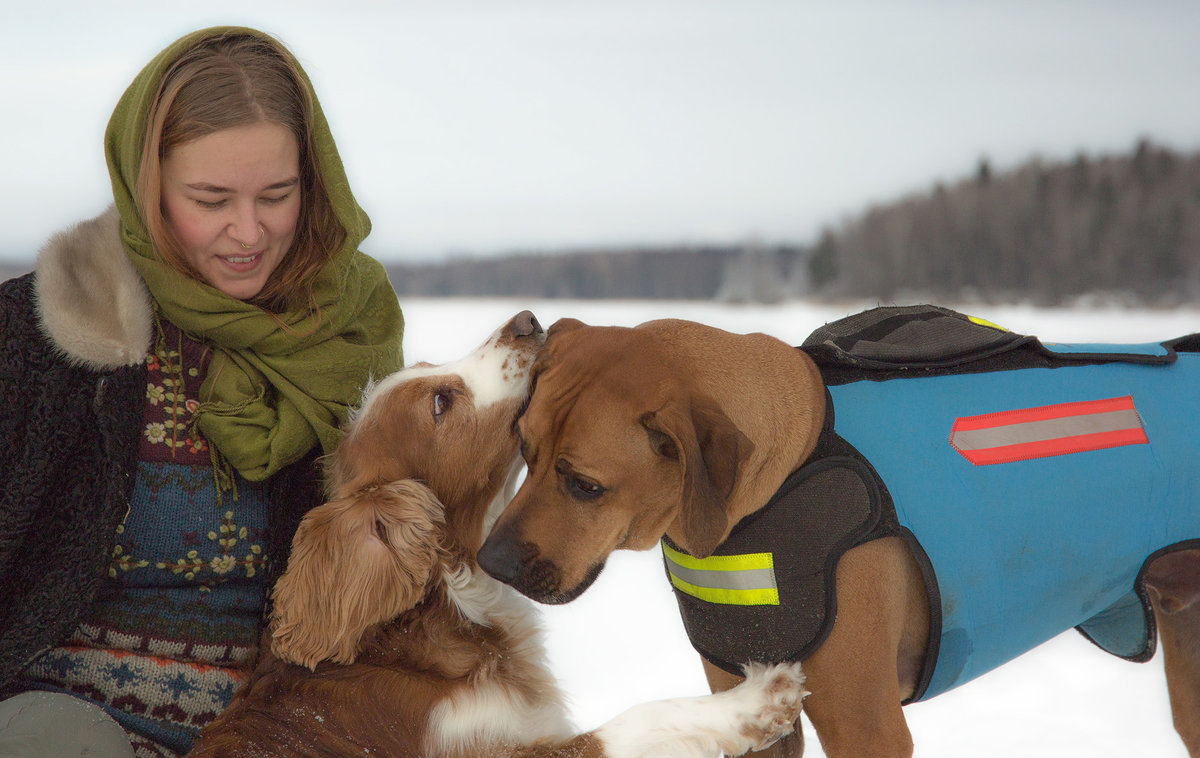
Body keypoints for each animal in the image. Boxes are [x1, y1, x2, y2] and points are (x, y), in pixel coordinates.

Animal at [475, 316, 1200, 758]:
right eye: (523, 450)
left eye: (584, 485)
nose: (491, 561)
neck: (787, 465)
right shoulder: (748, 706)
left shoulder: (866, 725)